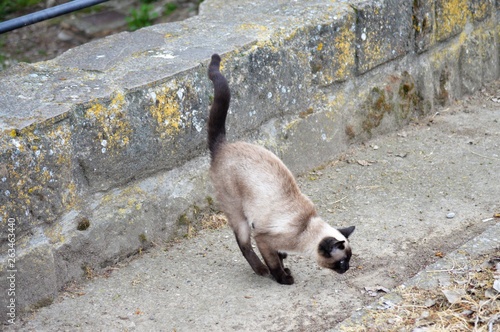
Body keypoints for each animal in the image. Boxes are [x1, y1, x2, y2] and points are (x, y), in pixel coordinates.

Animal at [207, 53, 356, 284]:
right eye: (341, 262)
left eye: (349, 260)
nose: (347, 269)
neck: (305, 229)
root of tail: (223, 145)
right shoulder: (264, 239)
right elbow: (274, 262)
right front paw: (284, 278)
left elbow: (280, 257)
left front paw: (286, 267)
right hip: (239, 216)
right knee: (243, 244)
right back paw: (260, 270)